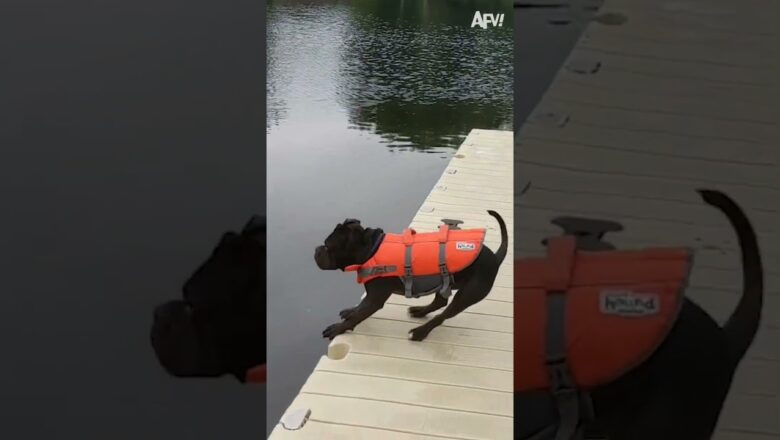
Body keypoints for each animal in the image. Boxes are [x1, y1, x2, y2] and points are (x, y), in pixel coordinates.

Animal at [314, 211, 508, 342]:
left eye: (327, 245)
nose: (316, 249)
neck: (371, 249)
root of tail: (495, 258)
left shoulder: (375, 299)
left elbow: (358, 315)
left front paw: (337, 328)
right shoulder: (370, 296)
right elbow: (358, 309)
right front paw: (349, 311)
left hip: (467, 294)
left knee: (443, 315)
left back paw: (419, 332)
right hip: (444, 283)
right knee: (440, 303)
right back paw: (419, 311)